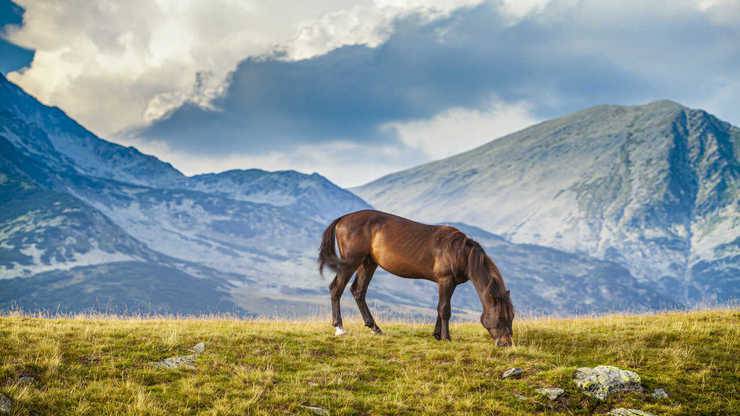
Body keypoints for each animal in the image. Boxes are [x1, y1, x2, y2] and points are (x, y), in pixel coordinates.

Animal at [318, 210, 516, 346]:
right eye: (500, 317)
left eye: (512, 316)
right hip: (351, 262)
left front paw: (437, 335)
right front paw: (446, 338)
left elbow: (440, 308)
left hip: (368, 263)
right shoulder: (445, 280)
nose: (506, 343)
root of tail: (343, 219)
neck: (461, 252)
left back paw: (375, 328)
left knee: (358, 291)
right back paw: (339, 328)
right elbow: (445, 309)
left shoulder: (449, 284)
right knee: (336, 288)